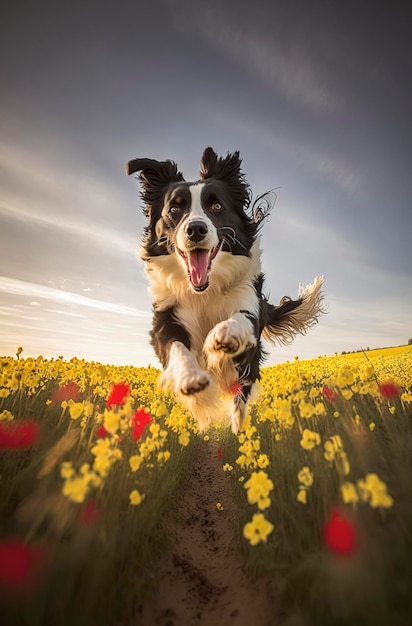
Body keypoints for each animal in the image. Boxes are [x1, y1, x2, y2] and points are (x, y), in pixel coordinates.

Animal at [126, 147, 326, 432]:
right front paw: (190, 378)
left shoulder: (248, 307)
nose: (195, 229)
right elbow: (176, 347)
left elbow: (240, 319)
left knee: (240, 396)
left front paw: (224, 335)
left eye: (216, 205)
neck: (204, 291)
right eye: (174, 208)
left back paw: (238, 430)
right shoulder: (165, 319)